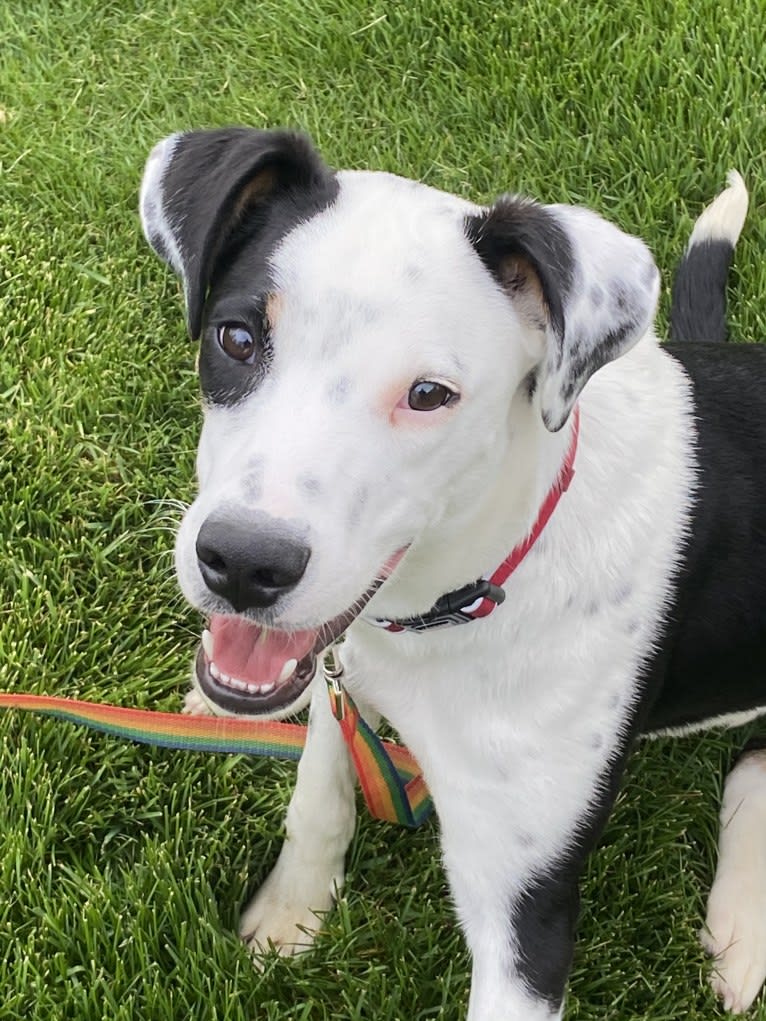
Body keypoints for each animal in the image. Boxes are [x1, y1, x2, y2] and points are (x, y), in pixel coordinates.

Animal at [140, 129, 763, 1021]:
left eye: (430, 394)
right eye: (236, 337)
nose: (243, 564)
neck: (470, 595)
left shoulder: (524, 915)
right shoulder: (339, 669)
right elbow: (318, 798)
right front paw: (290, 916)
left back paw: (742, 923)